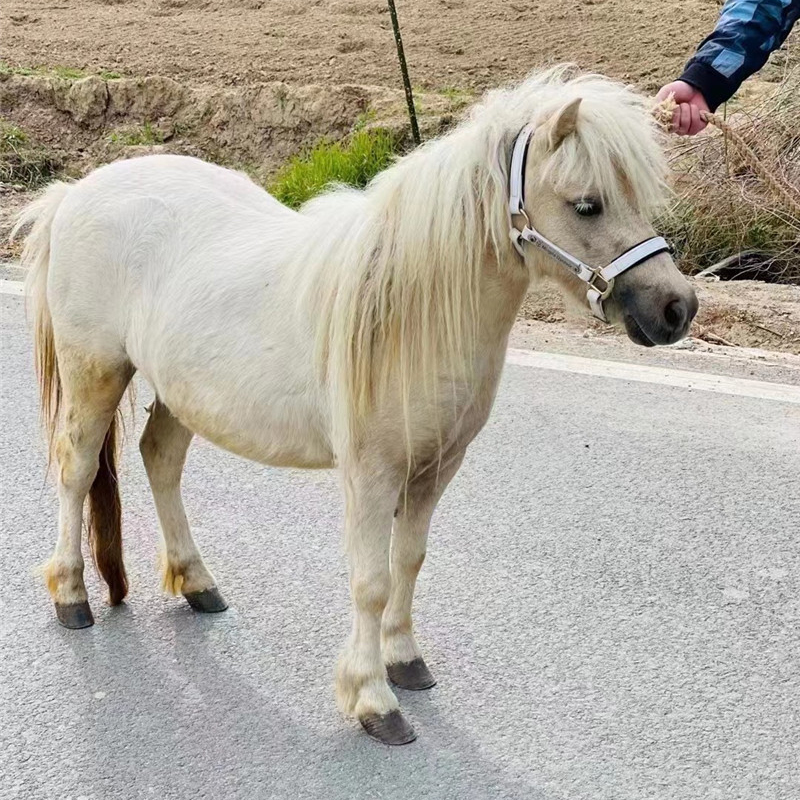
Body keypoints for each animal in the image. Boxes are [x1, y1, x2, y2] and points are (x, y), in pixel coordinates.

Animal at [15, 67, 696, 744]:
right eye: (588, 203)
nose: (677, 308)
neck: (411, 309)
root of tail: (75, 193)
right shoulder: (372, 474)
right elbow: (371, 581)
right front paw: (373, 700)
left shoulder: (434, 469)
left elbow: (408, 562)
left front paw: (405, 662)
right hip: (95, 374)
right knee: (77, 472)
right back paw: (71, 595)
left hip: (182, 394)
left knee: (159, 459)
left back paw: (197, 582)